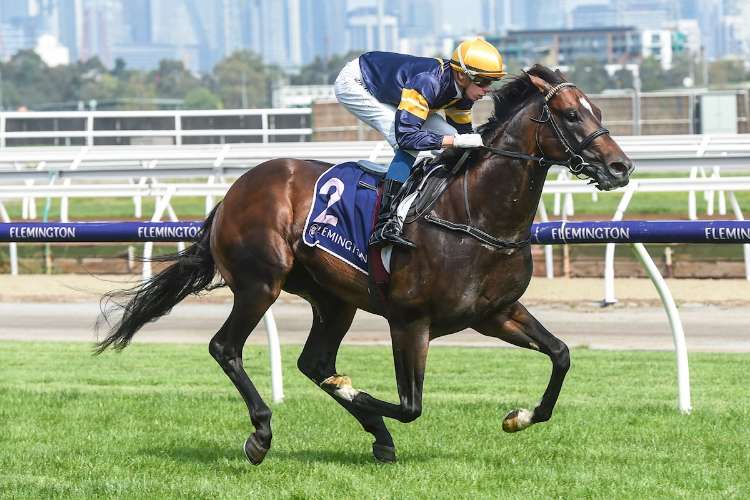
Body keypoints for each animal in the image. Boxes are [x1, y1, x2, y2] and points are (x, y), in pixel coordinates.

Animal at [96, 65, 632, 465]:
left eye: (598, 110)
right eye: (570, 114)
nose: (621, 167)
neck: (474, 212)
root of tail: (234, 191)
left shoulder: (495, 313)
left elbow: (561, 355)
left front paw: (518, 416)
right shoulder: (409, 321)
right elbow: (411, 405)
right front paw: (357, 394)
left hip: (333, 299)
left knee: (314, 362)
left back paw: (376, 436)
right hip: (260, 283)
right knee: (226, 347)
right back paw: (263, 434)